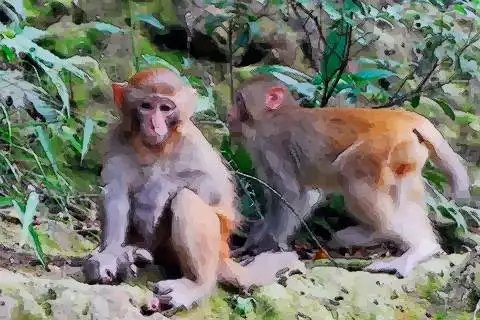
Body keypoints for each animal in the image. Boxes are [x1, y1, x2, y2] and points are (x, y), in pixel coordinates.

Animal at [80, 68, 302, 316]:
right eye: (146, 106)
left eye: (165, 108)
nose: (155, 125)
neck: (155, 148)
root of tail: (223, 255)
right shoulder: (117, 141)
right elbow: (115, 193)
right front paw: (108, 256)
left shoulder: (193, 142)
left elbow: (217, 191)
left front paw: (158, 190)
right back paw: (133, 254)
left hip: (213, 245)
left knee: (187, 199)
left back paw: (196, 285)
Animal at [227, 73, 470, 278]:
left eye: (239, 100)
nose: (229, 113)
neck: (275, 114)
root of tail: (408, 118)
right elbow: (307, 195)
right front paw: (255, 236)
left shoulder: (272, 145)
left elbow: (293, 194)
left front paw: (266, 246)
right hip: (407, 155)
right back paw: (418, 245)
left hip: (383, 148)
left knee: (351, 173)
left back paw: (395, 240)